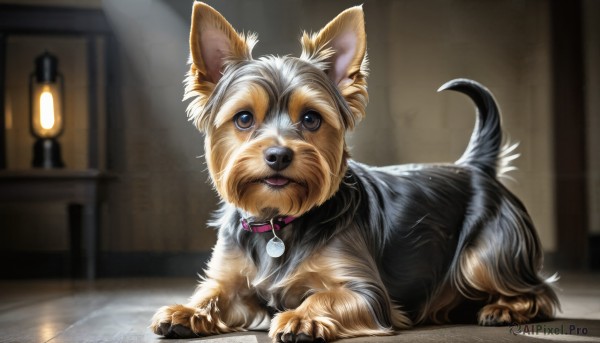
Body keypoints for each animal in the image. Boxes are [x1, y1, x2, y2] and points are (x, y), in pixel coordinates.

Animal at [150, 2, 556, 342]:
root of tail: (474, 165)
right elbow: (214, 292)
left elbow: (324, 297)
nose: (279, 155)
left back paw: (503, 308)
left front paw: (301, 318)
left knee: (538, 292)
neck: (280, 220)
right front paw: (184, 311)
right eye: (244, 118)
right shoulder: (231, 278)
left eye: (311, 119)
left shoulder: (365, 291)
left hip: (486, 253)